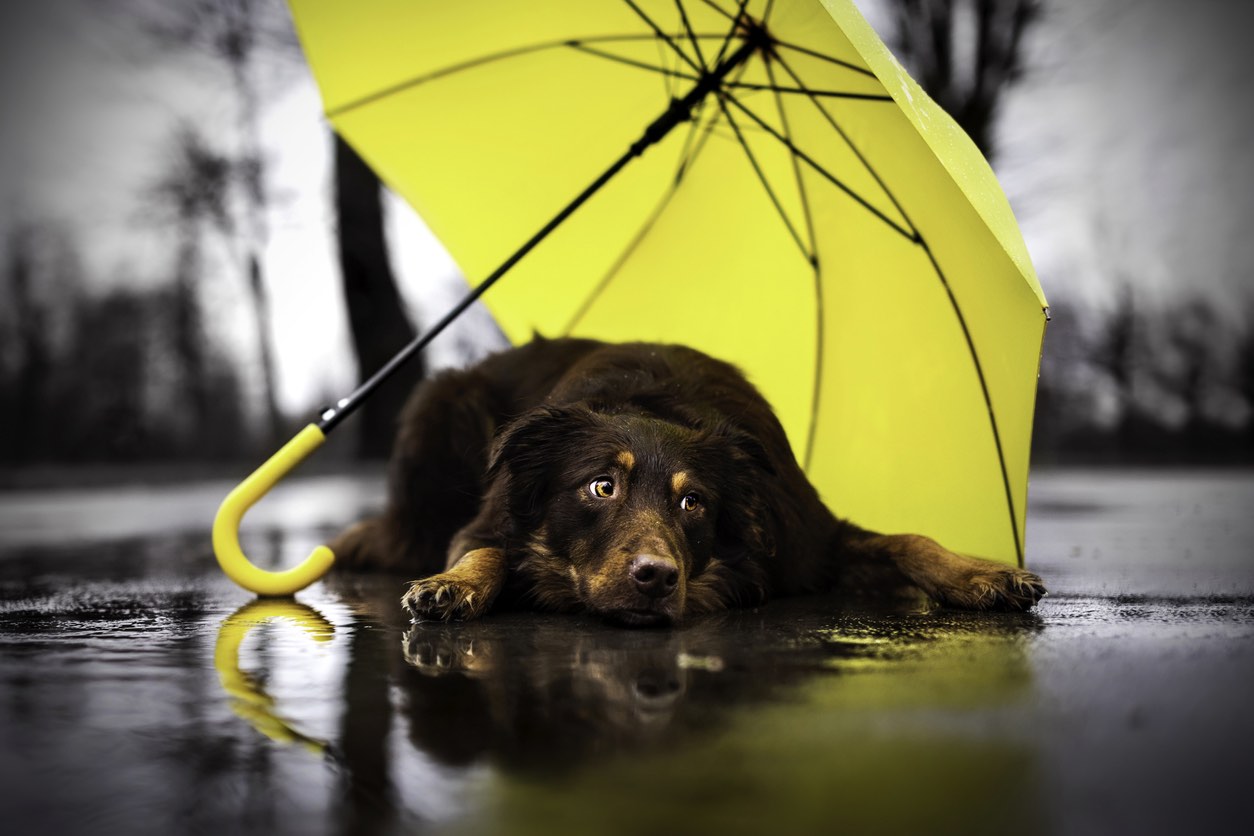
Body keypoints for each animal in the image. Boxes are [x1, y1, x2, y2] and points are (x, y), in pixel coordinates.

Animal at [333, 335, 1048, 624]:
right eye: (601, 487)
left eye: (693, 502)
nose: (655, 579)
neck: (658, 405)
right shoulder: (489, 516)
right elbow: (484, 549)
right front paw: (453, 586)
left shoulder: (809, 540)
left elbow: (908, 540)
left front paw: (980, 574)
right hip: (439, 404)